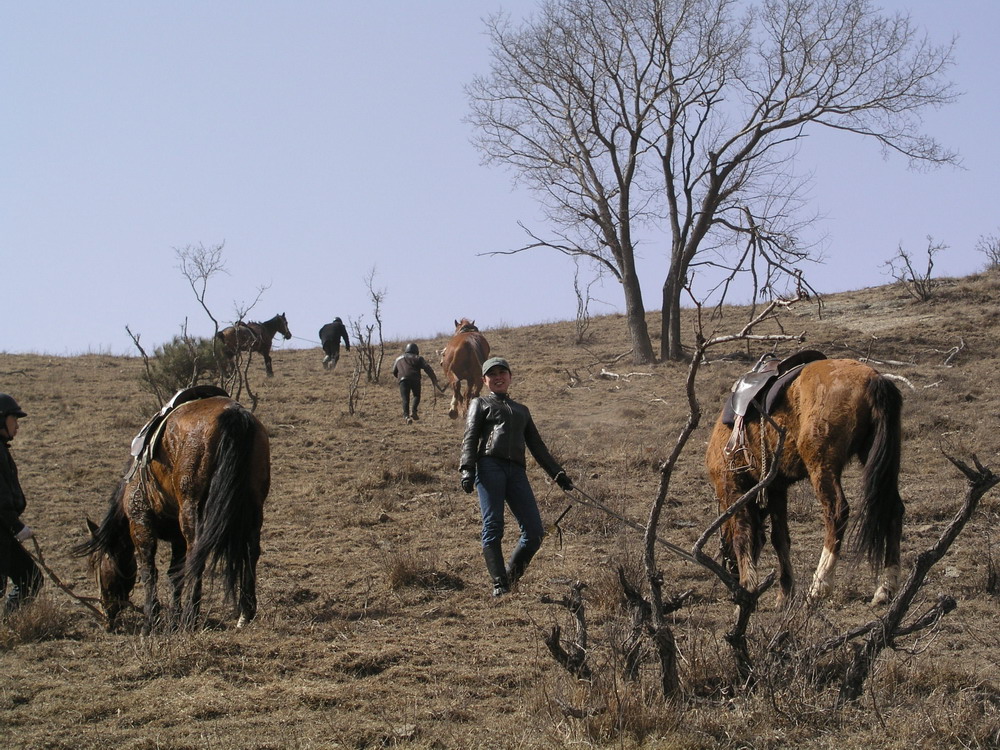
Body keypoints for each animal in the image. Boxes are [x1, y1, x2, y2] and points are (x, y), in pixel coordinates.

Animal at [73, 394, 270, 636]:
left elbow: (149, 570)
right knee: (251, 551)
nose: (106, 617)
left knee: (197, 553)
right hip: (253, 507)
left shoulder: (141, 522)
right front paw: (173, 617)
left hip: (191, 511)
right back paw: (245, 613)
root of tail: (234, 414)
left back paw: (190, 618)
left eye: (97, 567)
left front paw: (151, 620)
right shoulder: (176, 536)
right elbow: (174, 573)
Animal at [704, 358, 908, 612]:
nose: (730, 574)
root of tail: (874, 378)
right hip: (877, 459)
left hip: (821, 465)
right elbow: (780, 539)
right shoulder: (776, 489)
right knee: (893, 510)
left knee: (837, 512)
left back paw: (819, 586)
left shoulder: (732, 487)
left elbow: (743, 536)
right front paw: (785, 594)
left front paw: (747, 591)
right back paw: (885, 588)